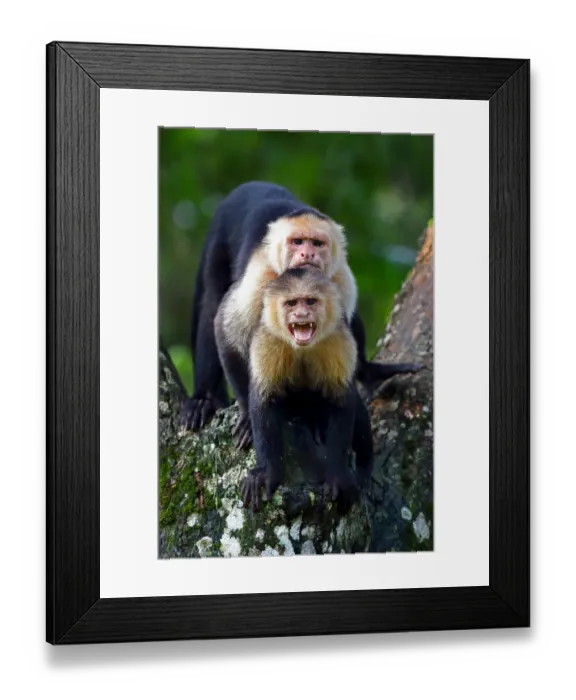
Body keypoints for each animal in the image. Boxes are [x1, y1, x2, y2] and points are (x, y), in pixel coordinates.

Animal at [180, 181, 420, 442]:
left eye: (317, 243)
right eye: (297, 242)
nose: (307, 254)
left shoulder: (340, 278)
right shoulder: (263, 275)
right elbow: (226, 332)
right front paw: (250, 418)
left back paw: (368, 372)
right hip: (218, 238)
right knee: (211, 301)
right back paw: (204, 398)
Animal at [221, 266, 374, 512]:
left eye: (310, 301)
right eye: (291, 303)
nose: (301, 314)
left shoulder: (338, 337)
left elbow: (342, 401)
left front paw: (338, 477)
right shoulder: (268, 337)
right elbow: (264, 400)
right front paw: (266, 473)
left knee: (356, 408)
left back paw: (363, 466)